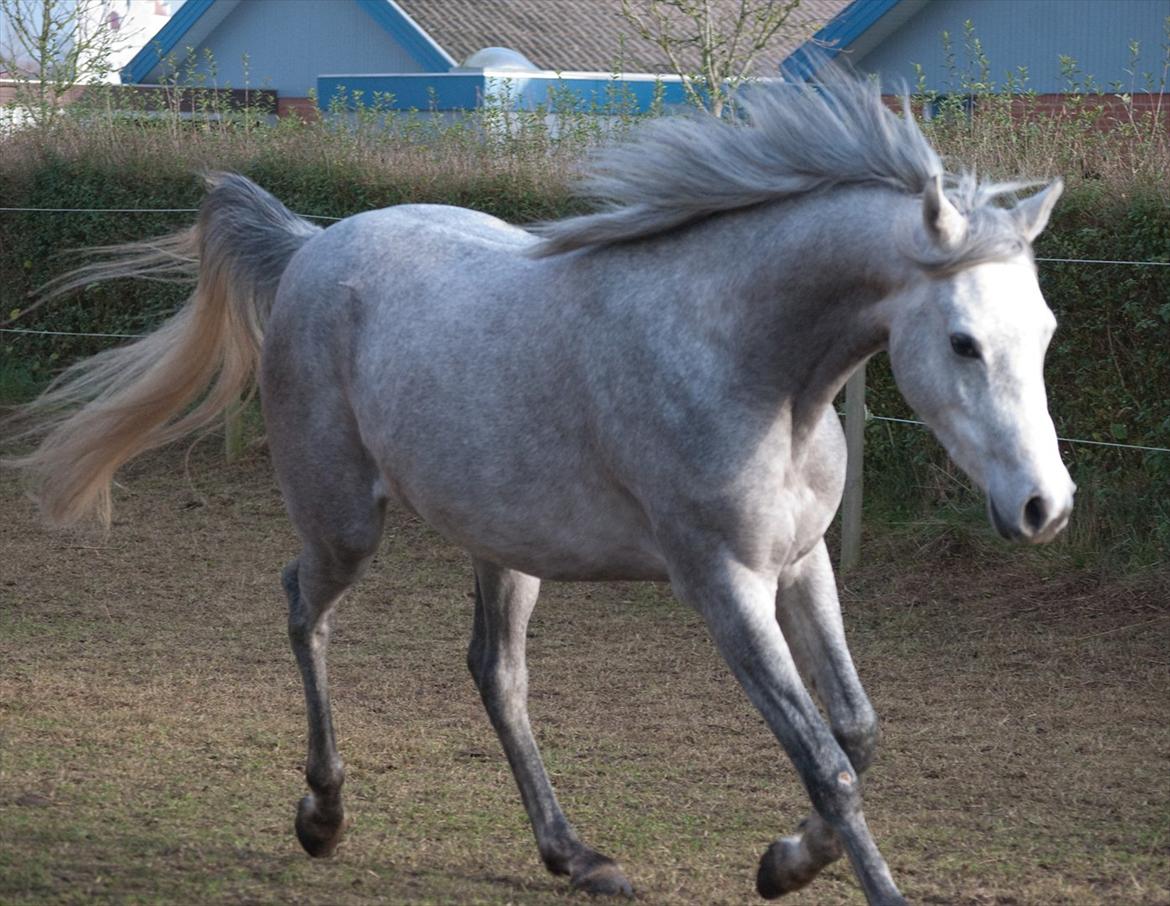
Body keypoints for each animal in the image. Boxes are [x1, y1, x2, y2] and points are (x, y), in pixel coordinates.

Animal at [4, 72, 1071, 906]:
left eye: (1048, 330)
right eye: (963, 342)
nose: (1044, 508)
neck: (747, 357)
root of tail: (311, 244)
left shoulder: (801, 563)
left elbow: (856, 731)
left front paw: (782, 863)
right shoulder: (724, 585)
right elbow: (828, 765)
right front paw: (828, 874)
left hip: (507, 541)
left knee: (495, 673)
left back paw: (574, 856)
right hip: (346, 520)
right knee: (304, 606)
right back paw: (324, 814)